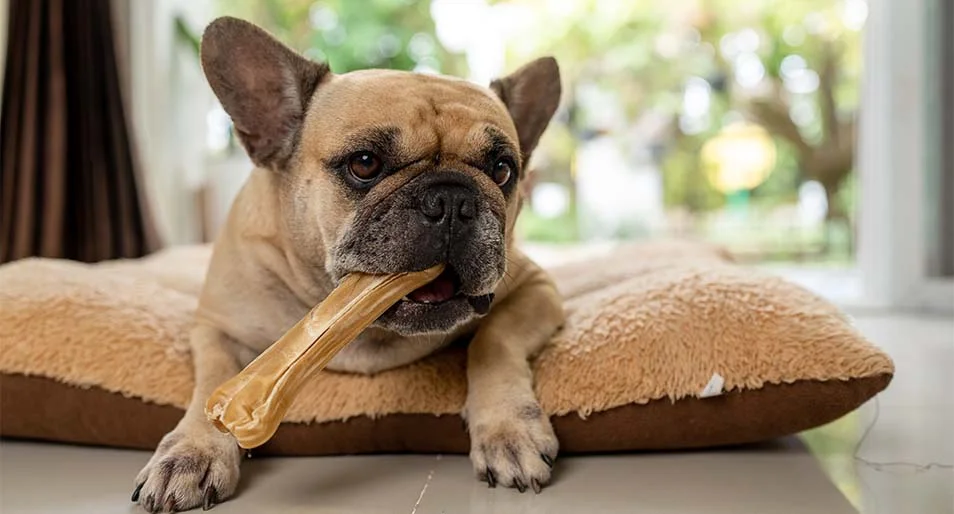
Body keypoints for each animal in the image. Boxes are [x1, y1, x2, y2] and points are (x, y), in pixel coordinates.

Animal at [134, 16, 564, 508]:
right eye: (364, 164)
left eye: (502, 171)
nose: (451, 199)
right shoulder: (216, 328)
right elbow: (214, 381)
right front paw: (191, 452)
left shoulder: (535, 288)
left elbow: (494, 340)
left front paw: (508, 430)